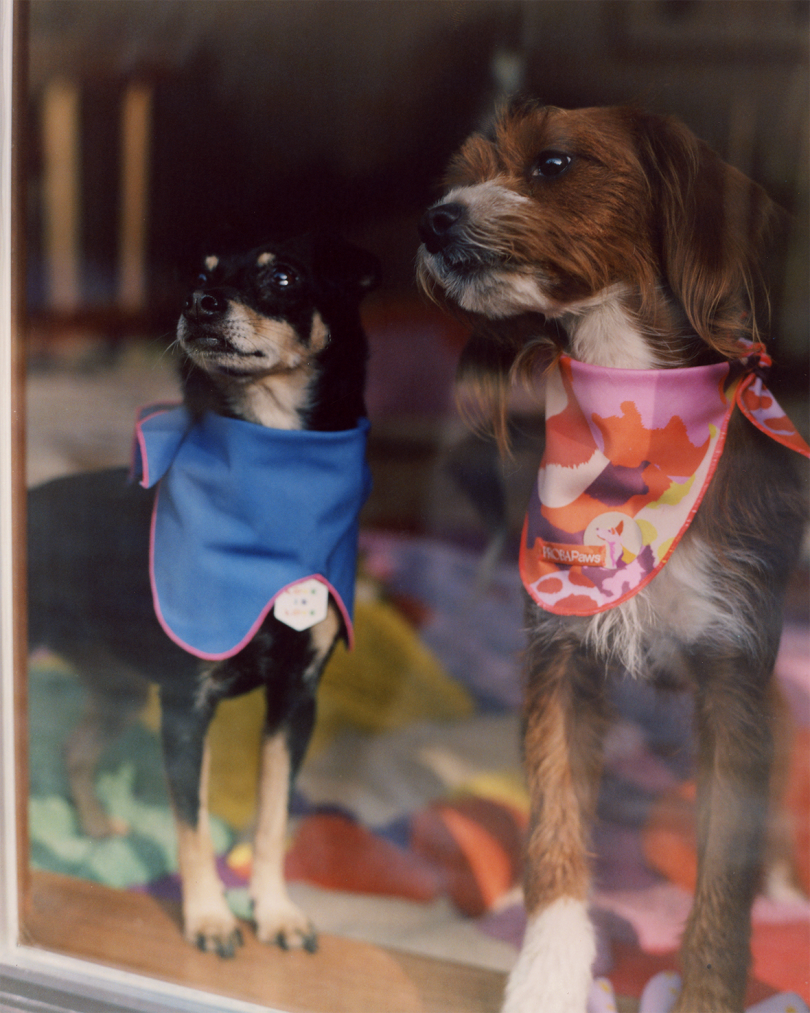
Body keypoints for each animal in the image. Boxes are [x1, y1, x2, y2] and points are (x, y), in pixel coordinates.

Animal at [26, 231, 378, 956]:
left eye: (282, 277)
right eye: (199, 276)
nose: (199, 304)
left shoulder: (295, 701)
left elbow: (271, 820)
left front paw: (274, 912)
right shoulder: (187, 704)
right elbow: (191, 822)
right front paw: (210, 918)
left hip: (119, 690)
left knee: (75, 747)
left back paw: (95, 825)